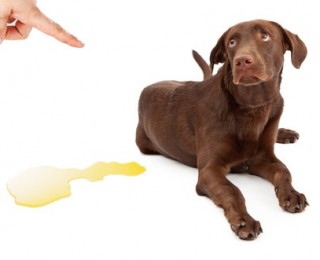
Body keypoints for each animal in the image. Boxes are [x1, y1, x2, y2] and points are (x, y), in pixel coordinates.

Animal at [135, 19, 308, 240]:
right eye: (232, 42)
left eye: (265, 36)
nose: (242, 61)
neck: (253, 106)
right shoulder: (210, 170)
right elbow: (232, 190)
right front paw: (243, 220)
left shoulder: (264, 158)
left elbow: (284, 171)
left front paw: (291, 194)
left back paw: (285, 133)